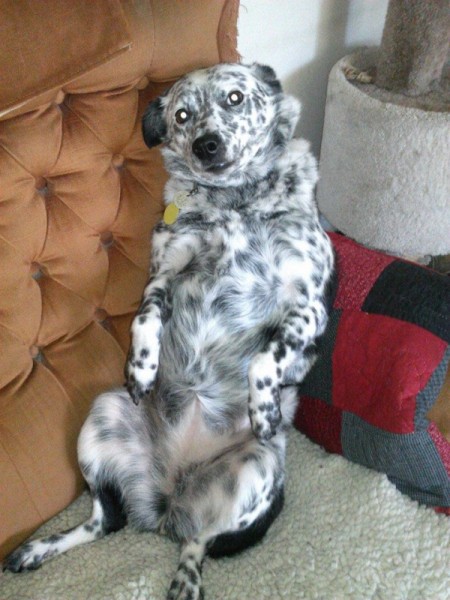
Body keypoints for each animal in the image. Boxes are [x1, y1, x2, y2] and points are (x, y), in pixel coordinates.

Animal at [2, 63, 334, 596]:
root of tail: (166, 500)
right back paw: (37, 549)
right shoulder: (163, 276)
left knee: (199, 540)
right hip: (102, 415)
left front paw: (263, 406)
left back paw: (185, 579)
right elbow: (145, 318)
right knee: (106, 521)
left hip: (256, 471)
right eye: (182, 114)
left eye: (235, 97)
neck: (232, 202)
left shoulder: (307, 305)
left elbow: (268, 356)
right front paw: (142, 368)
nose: (206, 145)